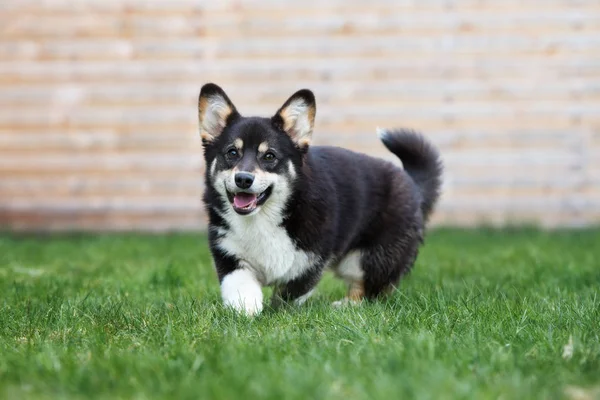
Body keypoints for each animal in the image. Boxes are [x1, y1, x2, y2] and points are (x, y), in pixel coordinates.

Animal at [197, 83, 440, 316]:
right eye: (232, 153)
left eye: (269, 156)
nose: (243, 179)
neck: (265, 217)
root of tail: (413, 185)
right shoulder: (229, 255)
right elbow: (241, 287)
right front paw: (245, 311)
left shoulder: (310, 264)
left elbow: (289, 293)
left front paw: (276, 313)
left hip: (366, 259)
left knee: (371, 291)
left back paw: (345, 306)